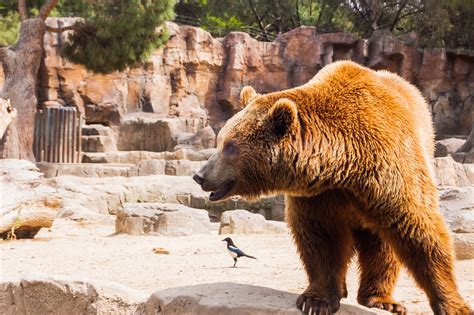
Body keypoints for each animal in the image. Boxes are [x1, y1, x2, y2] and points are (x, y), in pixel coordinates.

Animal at [192, 60, 470, 314]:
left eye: (230, 146)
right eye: (220, 141)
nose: (199, 175)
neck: (344, 163)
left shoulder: (388, 170)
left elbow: (418, 227)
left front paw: (454, 304)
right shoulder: (318, 193)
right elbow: (322, 236)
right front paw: (317, 300)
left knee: (384, 243)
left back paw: (382, 299)